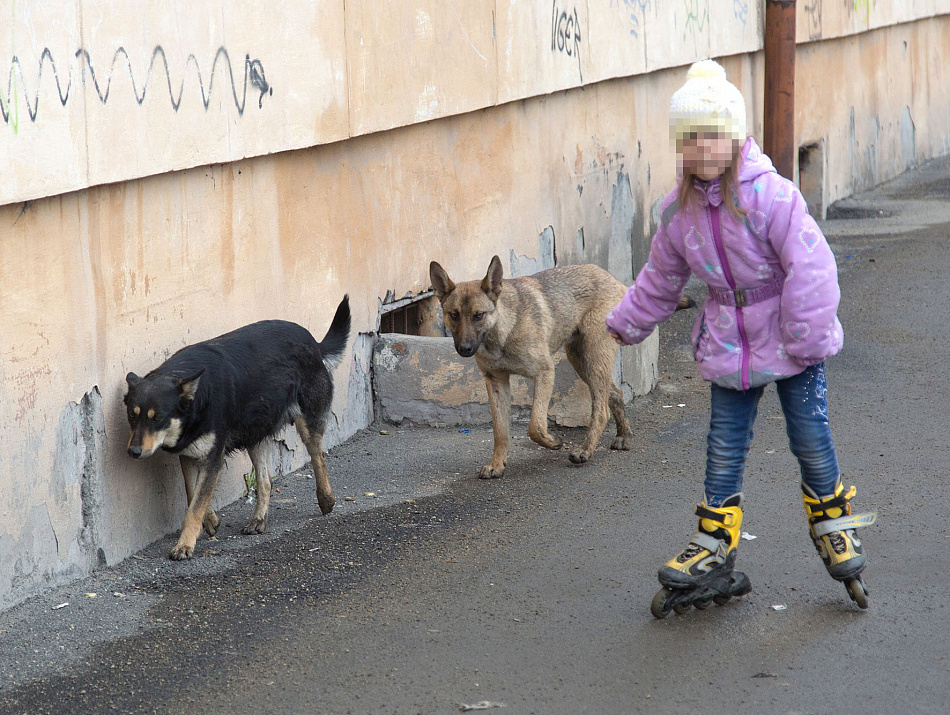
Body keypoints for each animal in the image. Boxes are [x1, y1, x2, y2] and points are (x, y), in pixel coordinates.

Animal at [124, 296, 352, 560]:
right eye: (132, 416)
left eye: (158, 417)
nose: (133, 452)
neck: (198, 398)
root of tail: (314, 342)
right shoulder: (190, 455)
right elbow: (193, 494)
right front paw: (210, 521)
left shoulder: (212, 458)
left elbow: (195, 505)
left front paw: (185, 545)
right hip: (257, 434)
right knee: (265, 480)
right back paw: (258, 520)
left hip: (308, 421)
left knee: (318, 458)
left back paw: (326, 499)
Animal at [436, 255, 636, 478]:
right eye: (454, 315)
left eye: (478, 315)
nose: (465, 349)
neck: (503, 331)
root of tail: (613, 279)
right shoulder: (496, 383)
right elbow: (500, 431)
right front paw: (497, 464)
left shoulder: (544, 373)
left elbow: (535, 425)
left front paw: (552, 441)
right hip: (581, 361)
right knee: (615, 394)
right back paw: (623, 436)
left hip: (593, 358)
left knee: (601, 411)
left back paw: (584, 450)